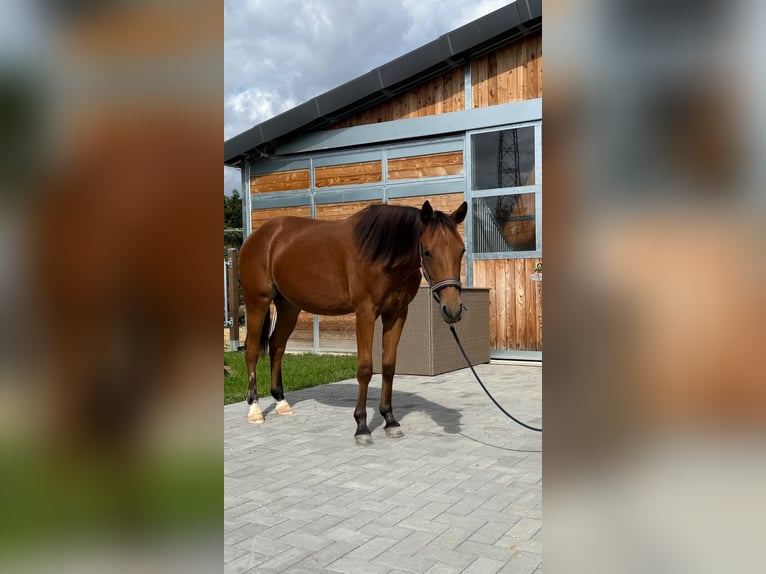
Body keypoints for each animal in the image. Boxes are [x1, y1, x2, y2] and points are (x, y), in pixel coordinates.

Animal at [238, 200, 467, 445]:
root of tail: (260, 236)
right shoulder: (365, 312)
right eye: (427, 251)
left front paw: (390, 420)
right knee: (252, 350)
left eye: (461, 250)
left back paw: (281, 402)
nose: (452, 309)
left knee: (276, 346)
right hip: (257, 302)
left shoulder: (397, 313)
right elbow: (365, 368)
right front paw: (362, 427)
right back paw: (255, 410)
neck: (382, 253)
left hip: (289, 306)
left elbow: (388, 366)